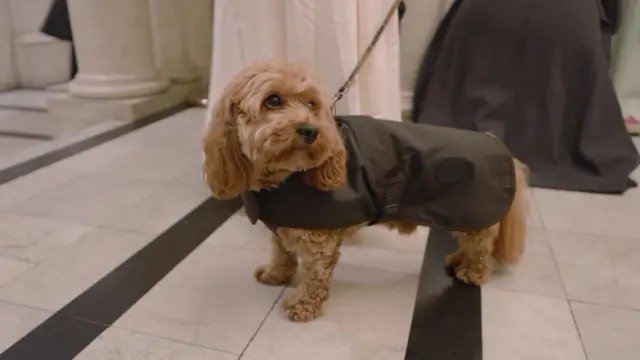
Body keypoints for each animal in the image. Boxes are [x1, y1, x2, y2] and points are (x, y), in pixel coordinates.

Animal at [202, 60, 528, 322]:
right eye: (273, 100)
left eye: (311, 104)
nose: (310, 130)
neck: (285, 176)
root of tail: (498, 144)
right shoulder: (282, 228)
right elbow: (281, 253)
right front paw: (276, 274)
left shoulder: (319, 241)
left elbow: (315, 275)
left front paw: (303, 305)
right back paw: (458, 260)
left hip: (475, 214)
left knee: (481, 247)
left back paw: (473, 271)